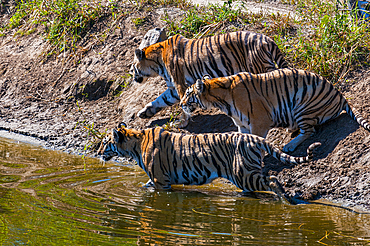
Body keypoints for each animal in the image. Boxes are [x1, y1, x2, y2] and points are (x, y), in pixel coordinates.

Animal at [98, 123, 320, 200]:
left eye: (105, 143)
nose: (98, 152)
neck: (135, 144)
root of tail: (254, 137)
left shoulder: (161, 180)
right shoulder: (155, 179)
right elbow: (145, 186)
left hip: (243, 174)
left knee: (272, 180)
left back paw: (285, 200)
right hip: (245, 175)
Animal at [130, 30, 290, 126]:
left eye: (132, 67)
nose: (132, 75)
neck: (157, 64)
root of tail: (267, 39)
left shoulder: (180, 84)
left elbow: (181, 105)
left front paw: (182, 123)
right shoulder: (173, 88)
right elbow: (161, 99)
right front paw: (144, 112)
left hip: (260, 67)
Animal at [179, 67, 370, 152]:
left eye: (188, 94)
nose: (181, 104)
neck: (221, 101)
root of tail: (341, 95)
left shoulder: (259, 122)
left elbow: (254, 140)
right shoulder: (241, 124)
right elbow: (241, 139)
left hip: (303, 106)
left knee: (310, 131)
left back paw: (289, 146)